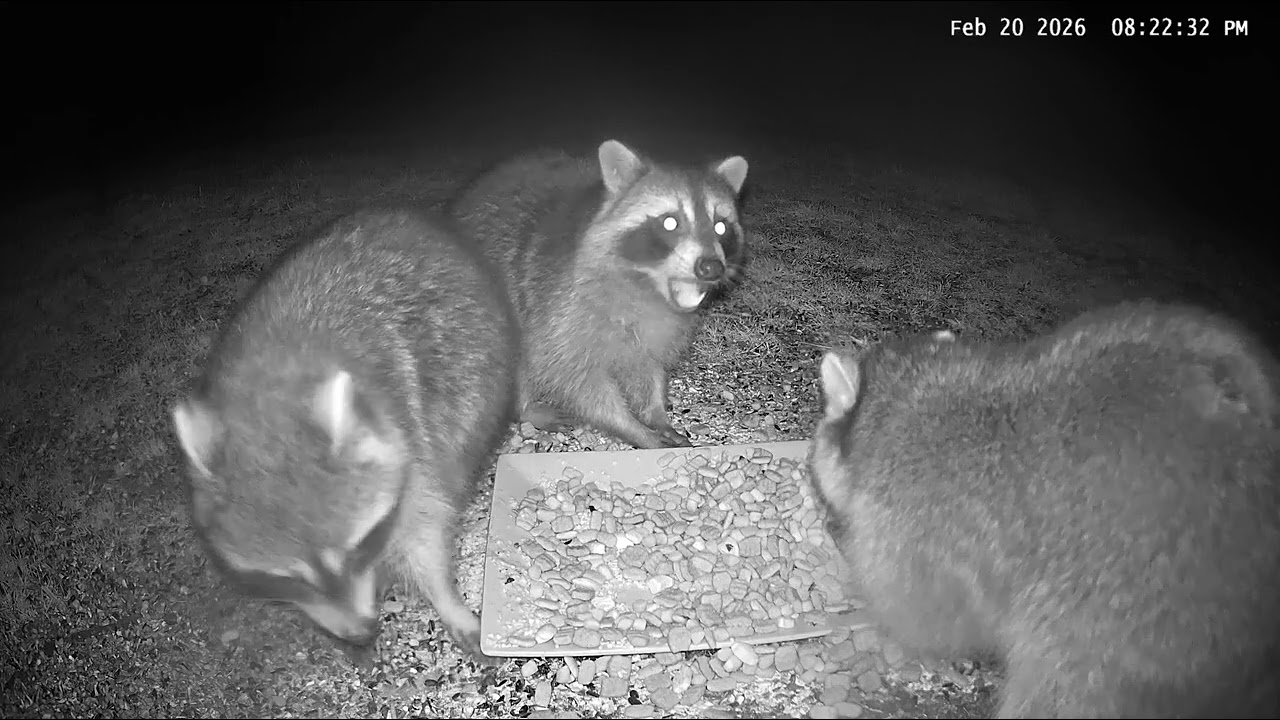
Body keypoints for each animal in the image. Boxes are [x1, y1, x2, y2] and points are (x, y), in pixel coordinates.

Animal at [171, 209, 519, 659]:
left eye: (359, 550)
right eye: (291, 579)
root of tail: (404, 217)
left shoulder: (411, 433)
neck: (269, 391)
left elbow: (425, 526)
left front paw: (444, 597)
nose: (360, 633)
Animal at [447, 139, 749, 449]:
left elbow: (649, 367)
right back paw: (525, 408)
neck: (647, 289)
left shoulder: (658, 331)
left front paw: (655, 414)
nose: (711, 267)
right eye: (670, 223)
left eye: (721, 226)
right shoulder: (560, 313)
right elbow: (578, 382)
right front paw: (633, 428)